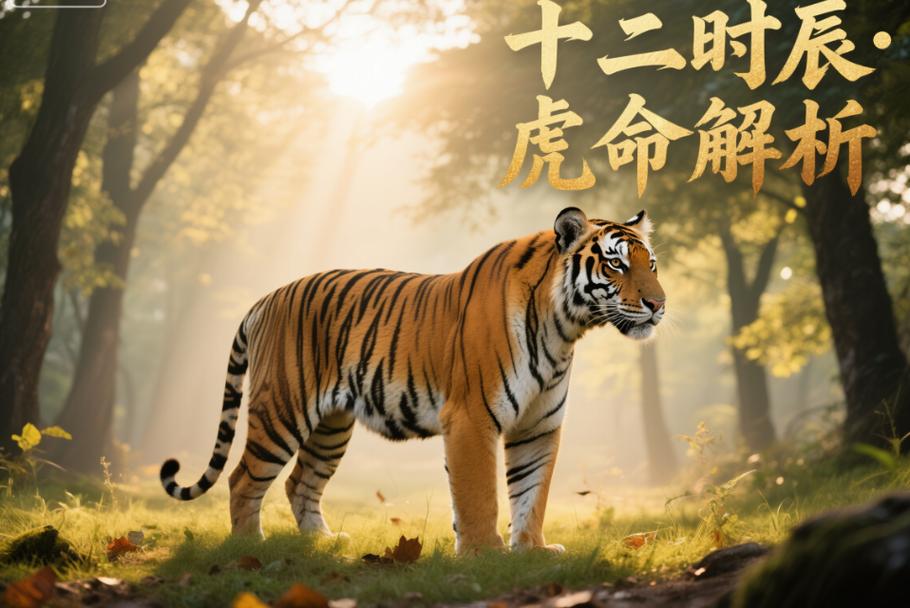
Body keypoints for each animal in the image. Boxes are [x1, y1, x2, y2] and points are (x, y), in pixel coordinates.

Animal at [160, 207, 666, 555]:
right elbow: (480, 494)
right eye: (617, 265)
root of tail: (265, 298)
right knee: (243, 479)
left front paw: (533, 550)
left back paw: (324, 542)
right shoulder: (472, 418)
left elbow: (531, 492)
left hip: (331, 426)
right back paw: (251, 547)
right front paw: (485, 554)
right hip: (283, 409)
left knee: (300, 481)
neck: (564, 328)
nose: (659, 305)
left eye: (653, 264)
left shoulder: (538, 426)